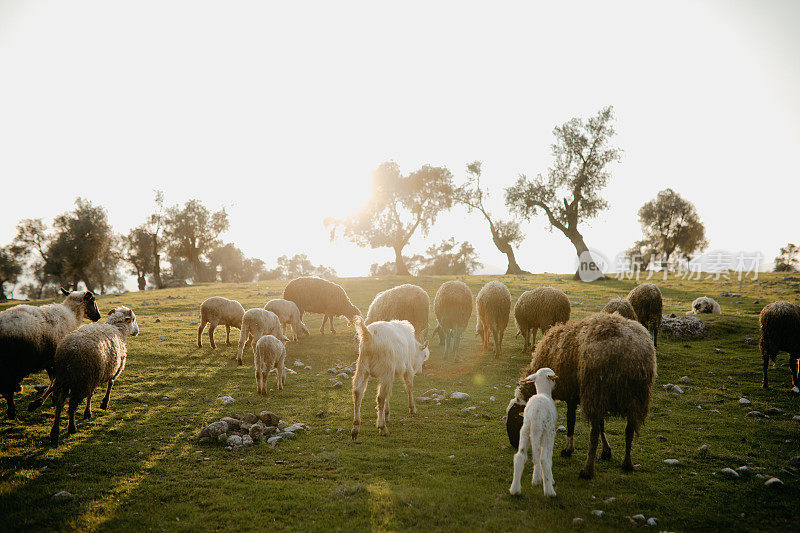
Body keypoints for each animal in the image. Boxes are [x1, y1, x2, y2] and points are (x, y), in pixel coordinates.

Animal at [0, 286, 101, 420]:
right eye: (92, 300)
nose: (98, 316)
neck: (72, 314)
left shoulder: (49, 359)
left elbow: (52, 378)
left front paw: (51, 398)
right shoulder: (56, 358)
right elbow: (54, 380)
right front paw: (40, 402)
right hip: (12, 364)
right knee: (8, 389)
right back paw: (12, 412)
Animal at [29, 306, 139, 442]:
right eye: (133, 319)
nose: (137, 331)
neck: (117, 329)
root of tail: (68, 352)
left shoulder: (95, 376)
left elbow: (91, 394)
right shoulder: (112, 370)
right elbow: (109, 385)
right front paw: (101, 405)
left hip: (64, 376)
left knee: (58, 402)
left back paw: (53, 428)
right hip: (81, 380)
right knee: (71, 405)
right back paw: (71, 427)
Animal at [506, 312, 656, 478]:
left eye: (515, 419)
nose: (514, 444)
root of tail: (630, 353)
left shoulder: (572, 394)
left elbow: (571, 421)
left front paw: (568, 449)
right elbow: (602, 425)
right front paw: (606, 451)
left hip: (596, 389)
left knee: (594, 434)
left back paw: (587, 470)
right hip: (635, 397)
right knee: (629, 430)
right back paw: (627, 463)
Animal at [510, 368, 560, 496]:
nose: (556, 383)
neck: (543, 392)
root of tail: (536, 414)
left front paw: (537, 478)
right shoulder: (551, 433)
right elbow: (548, 456)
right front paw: (549, 479)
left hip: (526, 429)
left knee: (520, 456)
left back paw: (515, 489)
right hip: (547, 431)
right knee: (544, 459)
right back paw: (549, 491)